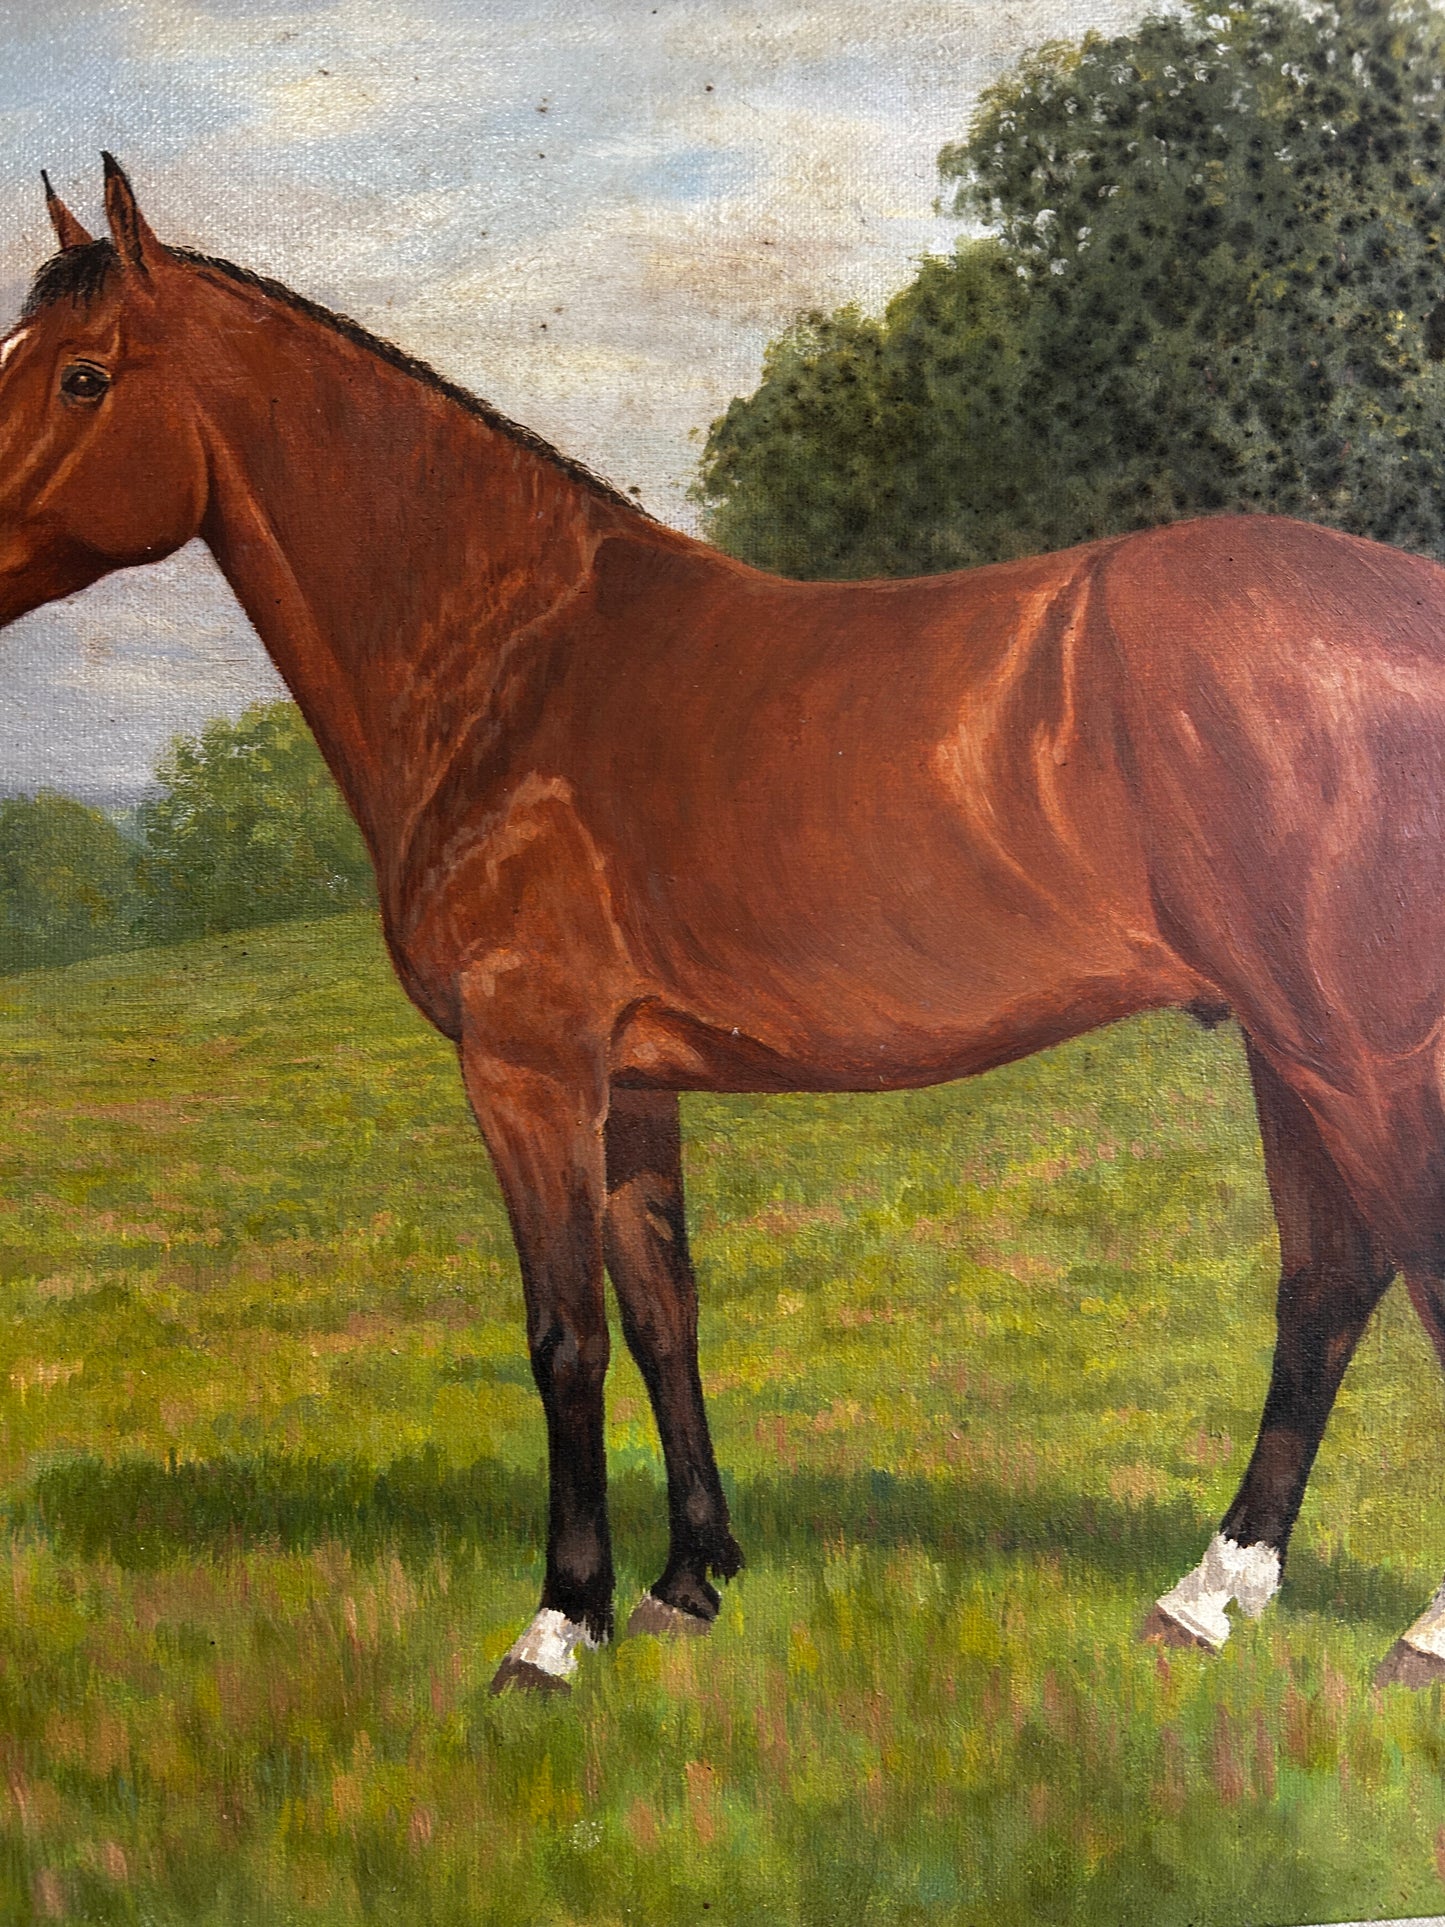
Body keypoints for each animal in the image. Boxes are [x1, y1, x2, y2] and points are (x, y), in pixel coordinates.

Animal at [4, 157, 1445, 1695]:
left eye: (84, 375)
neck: (515, 660)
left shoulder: (527, 1065)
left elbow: (563, 1336)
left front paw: (557, 1625)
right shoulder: (632, 1078)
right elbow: (660, 1312)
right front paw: (687, 1580)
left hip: (1355, 1048)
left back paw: (1407, 1636)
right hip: (1285, 1044)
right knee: (1328, 1279)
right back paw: (1207, 1592)